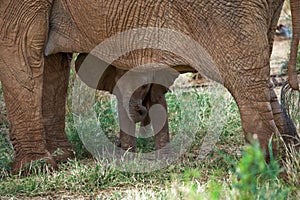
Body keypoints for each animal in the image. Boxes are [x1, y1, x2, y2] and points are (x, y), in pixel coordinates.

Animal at [0, 0, 298, 173]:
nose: (140, 111)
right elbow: (49, 59)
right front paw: (60, 158)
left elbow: (19, 41)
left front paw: (31, 168)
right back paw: (286, 158)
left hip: (227, 10)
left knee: (243, 78)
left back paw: (262, 168)